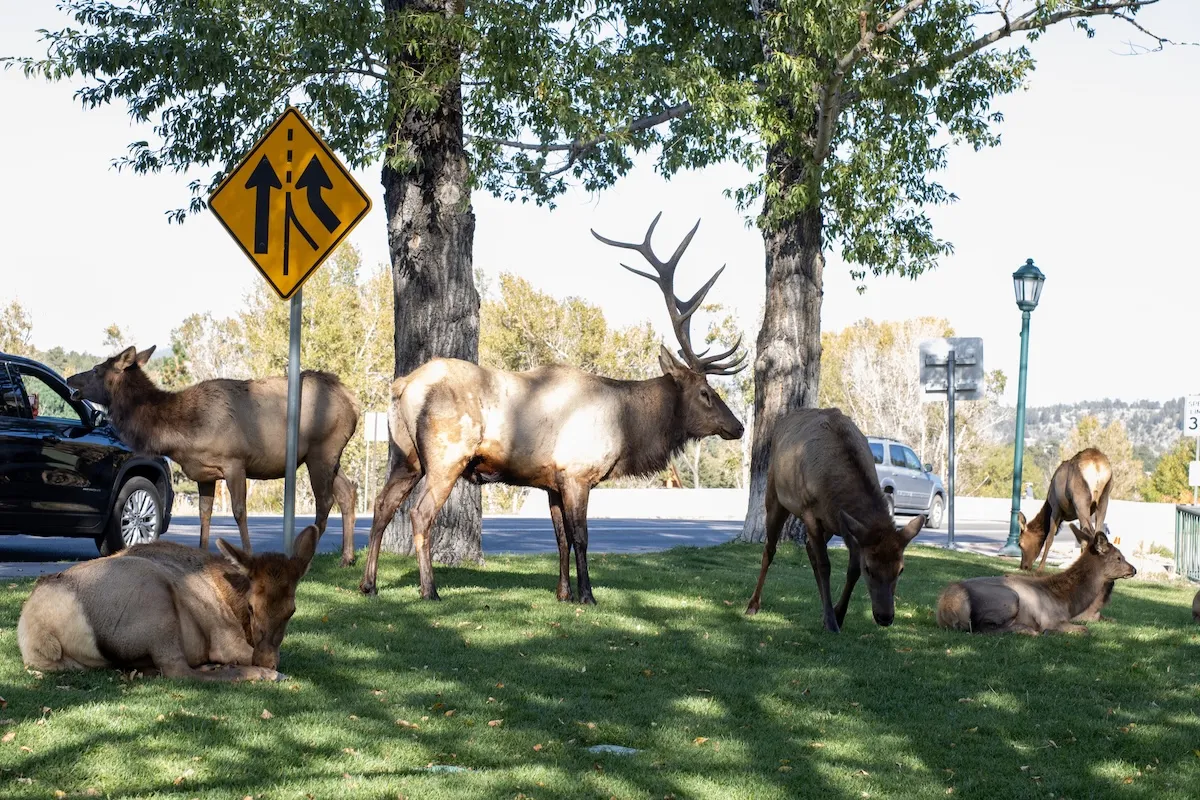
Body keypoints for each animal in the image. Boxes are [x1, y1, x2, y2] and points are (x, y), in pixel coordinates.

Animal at [18, 525, 319, 681]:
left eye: (291, 610)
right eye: (251, 607)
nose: (266, 661)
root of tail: (38, 630)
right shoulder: (225, 640)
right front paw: (267, 669)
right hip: (154, 597)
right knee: (178, 671)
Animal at [66, 346, 360, 563]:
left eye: (96, 369)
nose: (69, 379)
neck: (180, 434)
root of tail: (354, 401)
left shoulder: (235, 462)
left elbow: (239, 511)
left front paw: (247, 555)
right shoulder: (204, 473)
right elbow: (204, 514)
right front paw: (202, 553)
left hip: (321, 450)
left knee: (325, 500)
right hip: (330, 455)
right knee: (347, 491)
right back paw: (347, 557)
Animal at [359, 213, 746, 604]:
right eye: (705, 392)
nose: (739, 426)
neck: (627, 430)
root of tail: (402, 386)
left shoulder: (551, 482)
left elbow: (561, 539)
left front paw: (563, 593)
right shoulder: (577, 473)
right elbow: (581, 538)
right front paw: (587, 595)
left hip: (406, 455)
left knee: (382, 505)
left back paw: (369, 584)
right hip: (446, 456)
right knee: (420, 513)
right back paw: (429, 590)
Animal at [744, 408, 925, 632]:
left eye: (901, 569)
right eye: (869, 569)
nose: (885, 617)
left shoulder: (850, 527)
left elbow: (851, 570)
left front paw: (837, 614)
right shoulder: (810, 512)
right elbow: (825, 565)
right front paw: (831, 621)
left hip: (829, 525)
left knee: (808, 548)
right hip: (776, 497)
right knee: (770, 549)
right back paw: (753, 604)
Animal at [937, 525, 1136, 635]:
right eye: (1119, 557)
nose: (1133, 569)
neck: (1068, 603)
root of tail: (946, 607)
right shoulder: (1051, 619)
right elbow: (1086, 630)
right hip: (1009, 598)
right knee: (981, 628)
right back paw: (1028, 630)